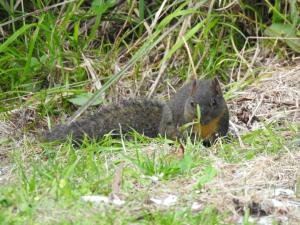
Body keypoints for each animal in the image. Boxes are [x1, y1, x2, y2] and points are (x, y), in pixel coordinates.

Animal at [41, 79, 230, 145]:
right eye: (191, 103)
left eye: (214, 102)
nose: (202, 119)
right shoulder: (185, 121)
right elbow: (188, 132)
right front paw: (192, 139)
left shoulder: (222, 119)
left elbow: (219, 134)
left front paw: (216, 141)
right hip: (168, 126)